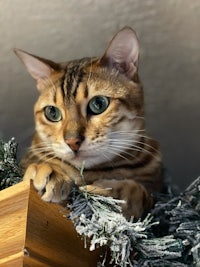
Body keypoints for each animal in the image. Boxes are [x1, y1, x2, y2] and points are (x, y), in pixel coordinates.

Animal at [14, 27, 163, 219]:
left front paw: (109, 192)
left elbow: (138, 193)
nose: (72, 142)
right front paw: (49, 171)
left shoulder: (158, 189)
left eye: (98, 103)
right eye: (52, 112)